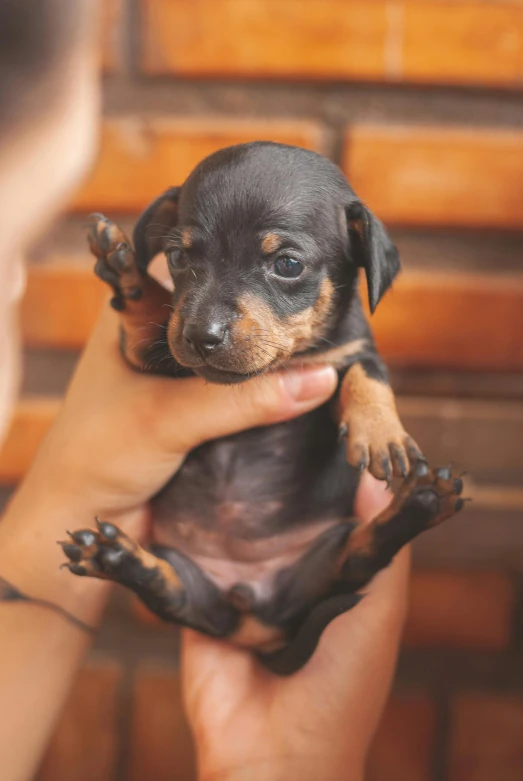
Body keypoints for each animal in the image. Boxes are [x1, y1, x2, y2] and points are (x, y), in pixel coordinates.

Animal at [61, 143, 466, 672]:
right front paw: (126, 272)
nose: (201, 336)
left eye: (288, 265)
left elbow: (368, 376)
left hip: (325, 563)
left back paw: (421, 502)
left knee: (360, 557)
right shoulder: (148, 356)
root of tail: (253, 620)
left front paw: (382, 435)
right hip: (191, 579)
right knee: (169, 593)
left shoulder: (355, 349)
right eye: (177, 257)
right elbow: (145, 318)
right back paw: (117, 559)